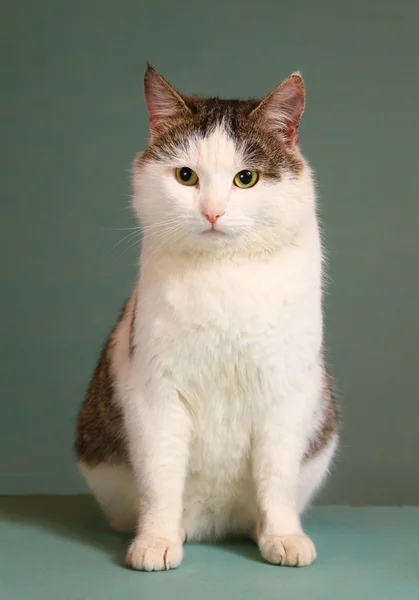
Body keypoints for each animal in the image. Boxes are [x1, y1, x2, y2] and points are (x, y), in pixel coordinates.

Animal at [74, 64, 338, 572]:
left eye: (246, 178)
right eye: (185, 176)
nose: (212, 212)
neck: (224, 276)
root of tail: (214, 525)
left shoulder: (286, 393)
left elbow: (277, 477)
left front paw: (283, 536)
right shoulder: (156, 393)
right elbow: (160, 478)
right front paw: (155, 540)